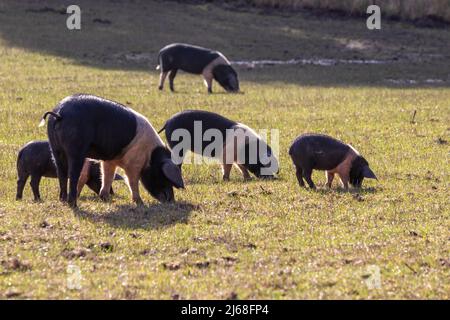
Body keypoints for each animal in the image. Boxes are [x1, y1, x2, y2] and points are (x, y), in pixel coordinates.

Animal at [40, 94, 184, 208]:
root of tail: (59, 114)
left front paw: (106, 199)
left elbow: (107, 176)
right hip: (76, 149)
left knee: (62, 173)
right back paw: (73, 204)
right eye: (163, 176)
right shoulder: (134, 163)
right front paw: (140, 203)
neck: (150, 155)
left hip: (55, 148)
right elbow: (132, 180)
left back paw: (63, 200)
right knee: (73, 174)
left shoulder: (109, 160)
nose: (171, 201)